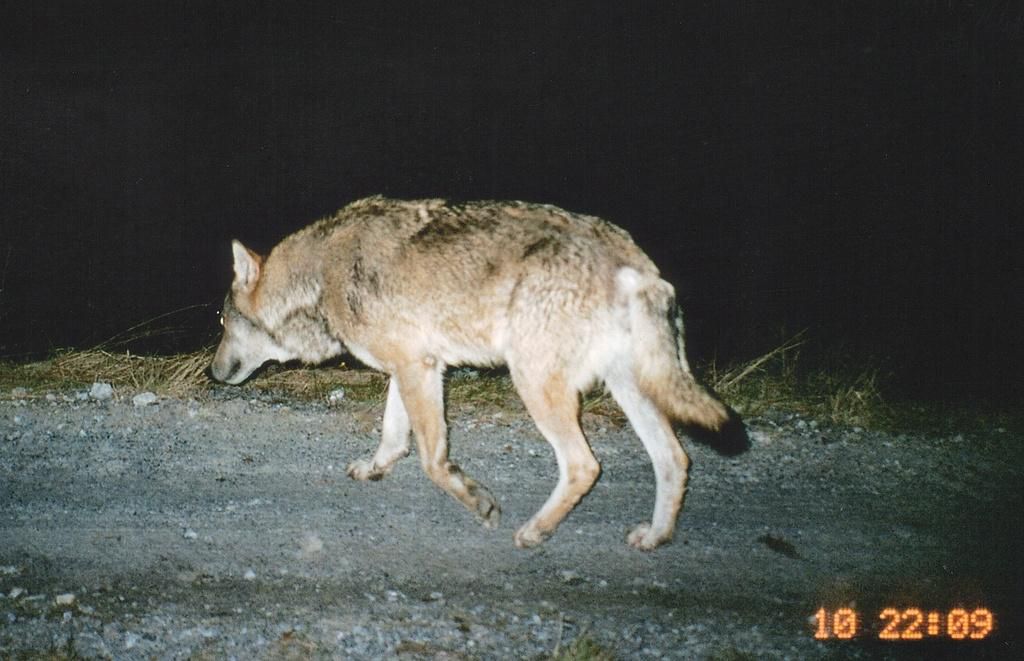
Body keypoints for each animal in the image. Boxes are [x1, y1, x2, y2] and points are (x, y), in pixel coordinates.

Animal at [210, 196, 735, 549]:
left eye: (220, 323)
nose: (213, 373)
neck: (320, 276)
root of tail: (629, 258)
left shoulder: (417, 369)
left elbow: (432, 461)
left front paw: (479, 502)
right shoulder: (415, 364)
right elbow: (394, 438)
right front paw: (375, 468)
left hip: (536, 384)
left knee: (585, 465)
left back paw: (535, 532)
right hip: (630, 388)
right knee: (674, 459)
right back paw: (656, 536)